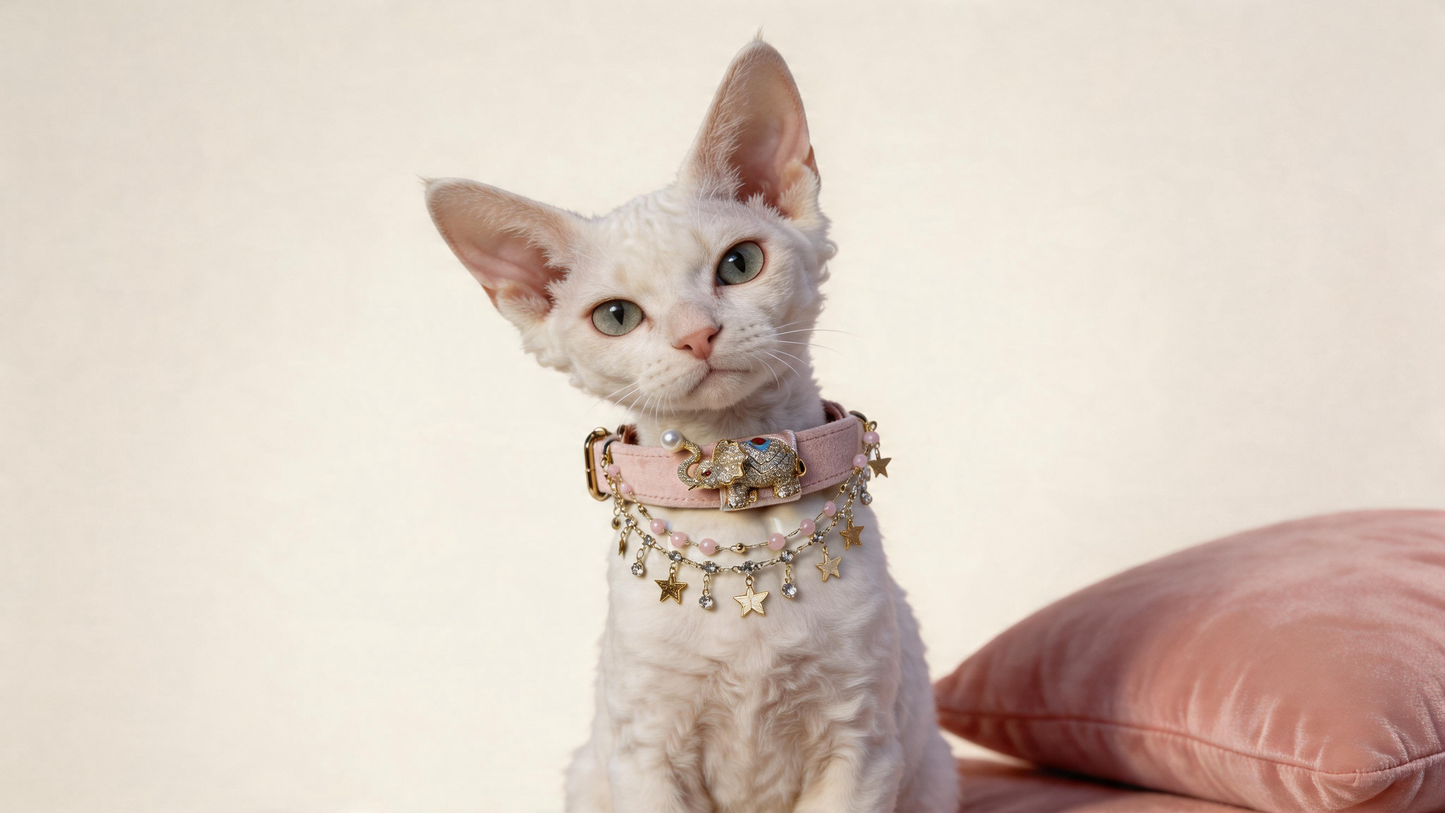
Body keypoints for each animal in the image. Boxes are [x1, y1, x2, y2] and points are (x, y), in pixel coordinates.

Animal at [674, 434, 804, 510]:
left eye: (706, 473)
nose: (684, 443)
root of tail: (793, 453)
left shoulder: (739, 478)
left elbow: (737, 489)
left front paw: (734, 505)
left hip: (784, 469)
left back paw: (785, 494)